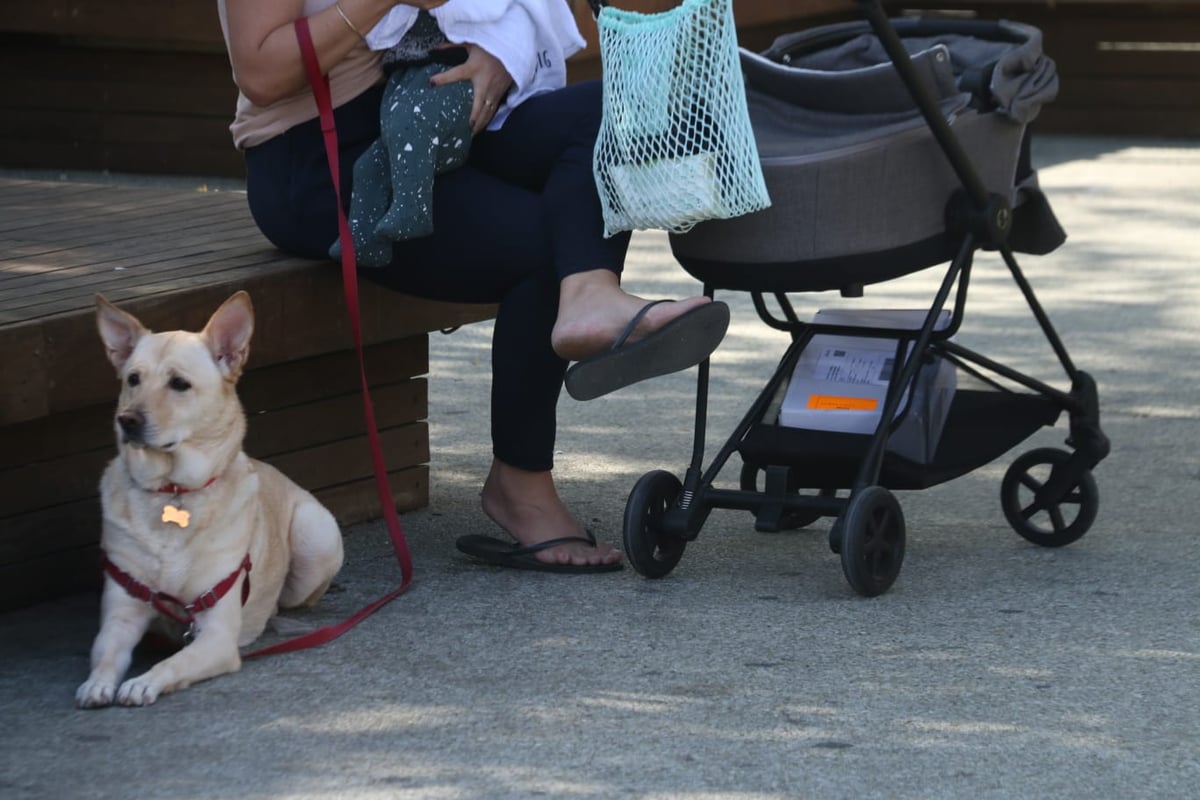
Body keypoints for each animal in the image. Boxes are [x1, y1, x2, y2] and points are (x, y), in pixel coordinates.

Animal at [77, 289, 345, 705]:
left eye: (179, 384)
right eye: (133, 379)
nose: (127, 421)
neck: (172, 492)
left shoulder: (217, 634)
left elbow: (176, 661)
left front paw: (144, 681)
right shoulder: (122, 611)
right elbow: (105, 652)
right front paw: (98, 683)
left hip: (315, 537)